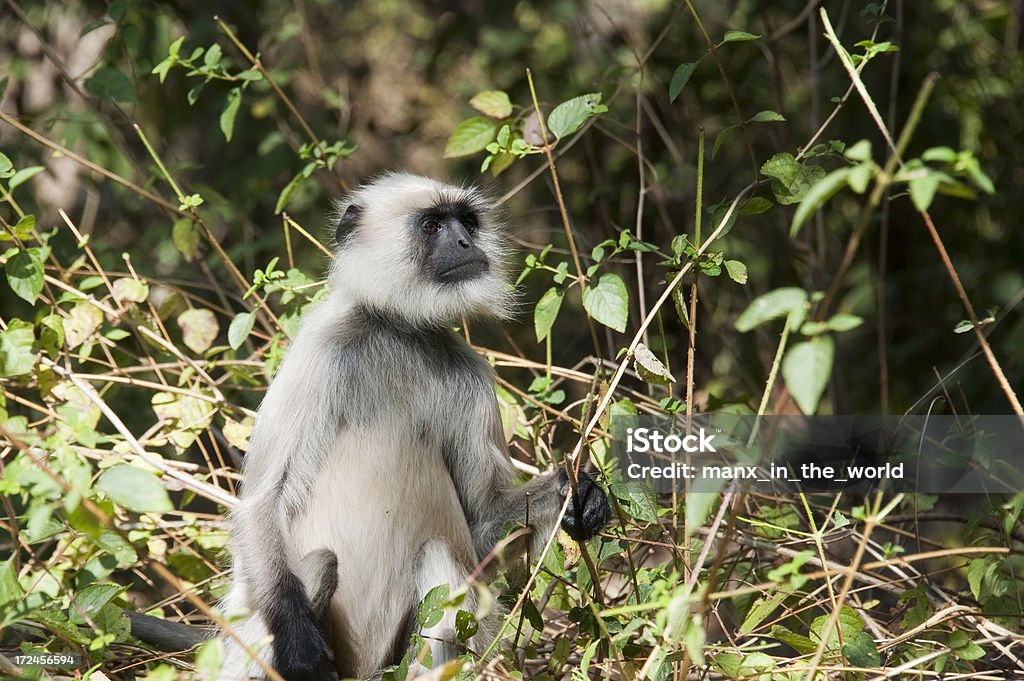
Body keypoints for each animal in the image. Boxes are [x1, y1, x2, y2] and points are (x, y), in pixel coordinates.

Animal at [217, 173, 610, 675]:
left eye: (467, 223)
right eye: (432, 226)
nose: (465, 243)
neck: (399, 332)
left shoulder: (472, 376)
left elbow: (483, 525)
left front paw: (578, 495)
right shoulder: (322, 349)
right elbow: (263, 502)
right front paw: (299, 643)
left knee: (439, 558)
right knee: (318, 564)